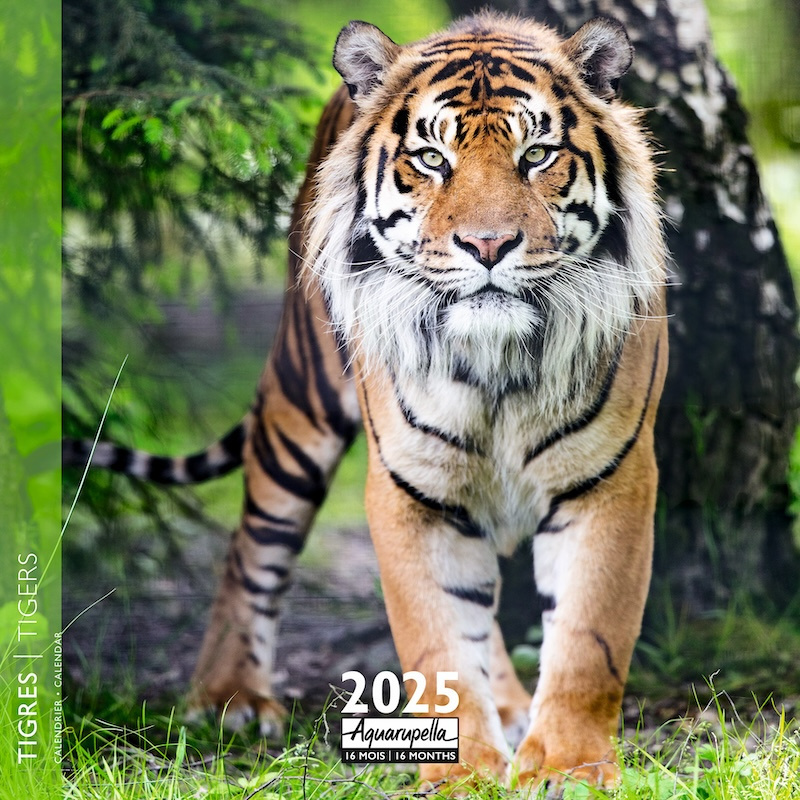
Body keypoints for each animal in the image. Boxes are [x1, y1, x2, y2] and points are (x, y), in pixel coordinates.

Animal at [67, 11, 668, 791]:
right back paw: (231, 699)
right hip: (300, 406)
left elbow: (588, 644)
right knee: (248, 547)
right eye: (433, 159)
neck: (499, 362)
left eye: (537, 154)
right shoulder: (408, 489)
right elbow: (438, 647)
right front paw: (463, 776)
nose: (488, 245)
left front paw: (568, 768)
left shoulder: (611, 482)